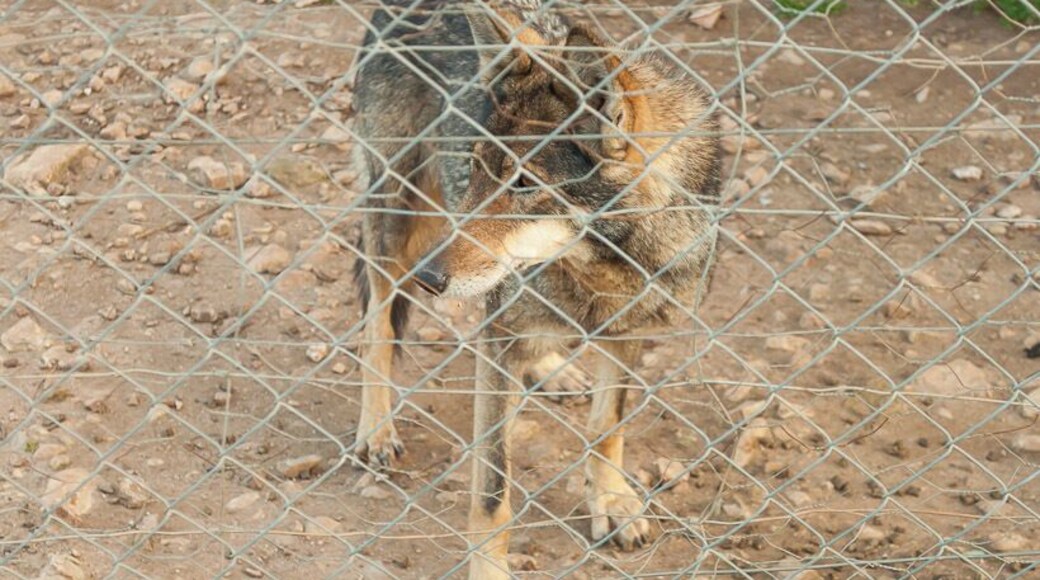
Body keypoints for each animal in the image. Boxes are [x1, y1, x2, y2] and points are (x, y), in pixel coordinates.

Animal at [351, 0, 720, 576]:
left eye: (524, 183)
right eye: (476, 164)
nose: (430, 279)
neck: (602, 271)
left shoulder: (626, 333)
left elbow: (607, 427)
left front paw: (612, 502)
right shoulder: (497, 342)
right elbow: (492, 493)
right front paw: (488, 569)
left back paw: (552, 368)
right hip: (394, 217)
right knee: (378, 327)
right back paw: (378, 428)